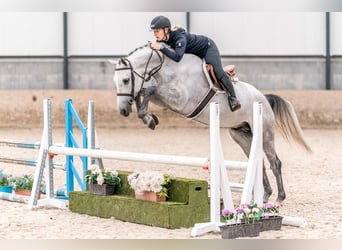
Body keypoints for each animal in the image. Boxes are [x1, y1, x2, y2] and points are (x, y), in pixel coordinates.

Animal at [111, 43, 312, 203]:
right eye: (116, 81)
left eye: (126, 80)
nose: (123, 110)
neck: (168, 67)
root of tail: (264, 98)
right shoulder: (167, 99)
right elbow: (144, 91)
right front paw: (148, 118)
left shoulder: (181, 101)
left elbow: (150, 89)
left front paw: (148, 118)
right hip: (241, 135)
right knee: (259, 162)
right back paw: (265, 195)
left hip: (265, 133)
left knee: (275, 163)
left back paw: (279, 197)